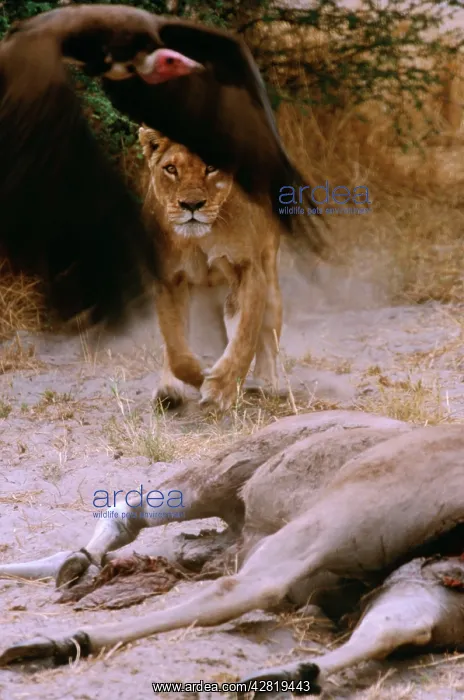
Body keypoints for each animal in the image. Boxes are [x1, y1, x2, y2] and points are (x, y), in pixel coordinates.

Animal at [138, 126, 283, 411]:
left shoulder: (248, 271)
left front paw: (220, 388)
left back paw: (266, 383)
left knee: (266, 334)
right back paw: (168, 391)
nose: (192, 205)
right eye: (171, 169)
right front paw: (200, 377)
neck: (199, 239)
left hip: (270, 277)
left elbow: (244, 338)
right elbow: (176, 350)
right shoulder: (168, 280)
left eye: (211, 167)